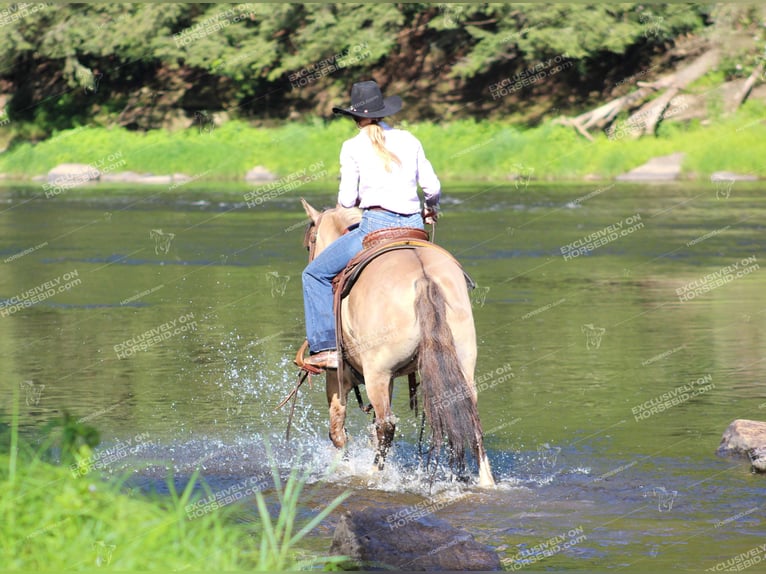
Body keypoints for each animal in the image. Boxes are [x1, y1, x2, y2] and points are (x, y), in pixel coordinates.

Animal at [296, 200, 496, 488]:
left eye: (309, 242)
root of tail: (424, 277)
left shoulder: (338, 377)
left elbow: (338, 431)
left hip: (376, 374)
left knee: (386, 425)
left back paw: (372, 475)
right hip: (463, 365)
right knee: (469, 417)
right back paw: (485, 481)